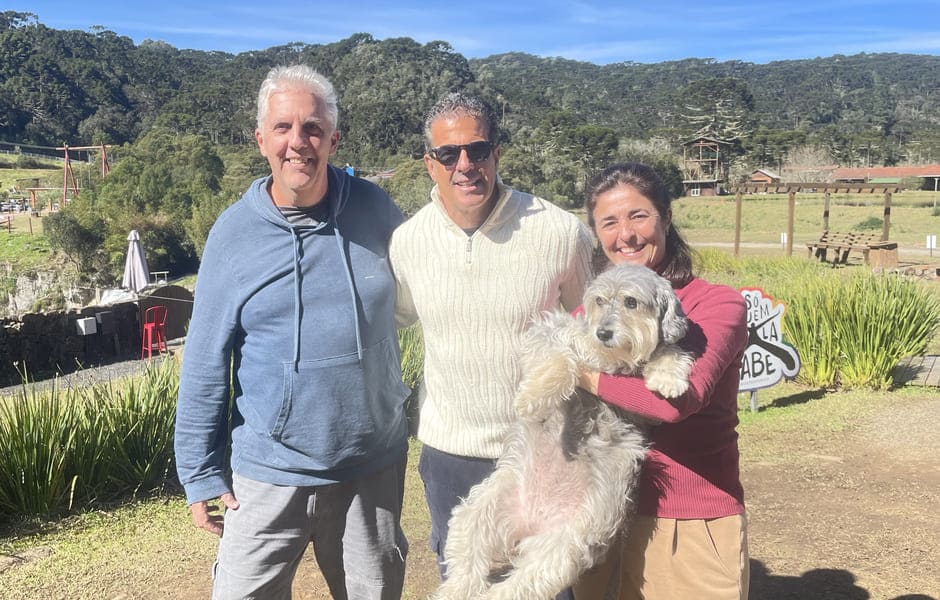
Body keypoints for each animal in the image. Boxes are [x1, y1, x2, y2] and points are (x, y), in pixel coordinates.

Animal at [436, 264, 692, 600]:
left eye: (631, 302)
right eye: (598, 300)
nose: (603, 333)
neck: (610, 359)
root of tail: (530, 523)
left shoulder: (645, 411)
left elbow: (667, 351)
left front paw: (669, 376)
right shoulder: (545, 334)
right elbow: (564, 356)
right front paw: (534, 394)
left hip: (560, 550)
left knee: (518, 584)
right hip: (475, 515)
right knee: (465, 571)